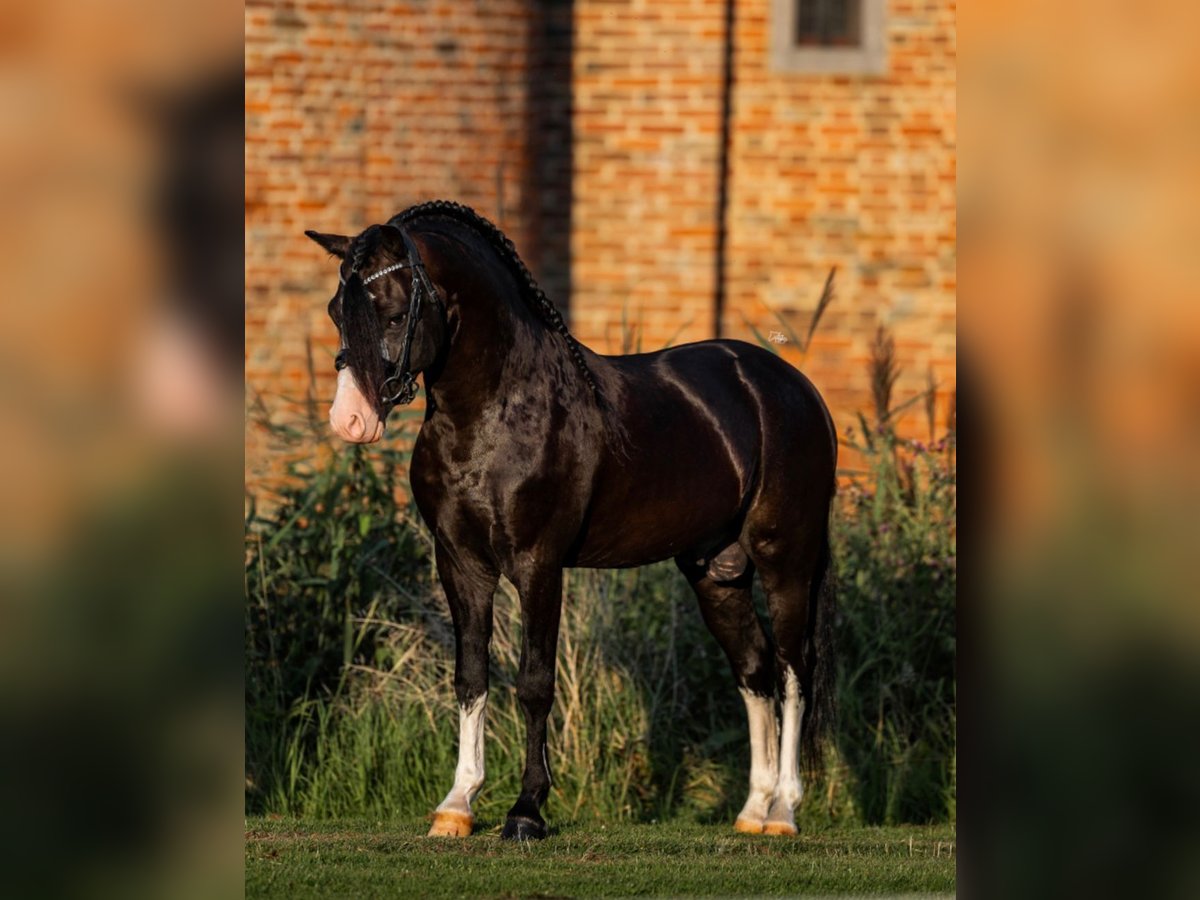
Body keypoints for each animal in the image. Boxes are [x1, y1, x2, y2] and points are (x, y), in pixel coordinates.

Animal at [304, 200, 840, 844]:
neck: (498, 412)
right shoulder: (460, 565)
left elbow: (534, 684)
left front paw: (526, 810)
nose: (350, 420)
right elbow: (470, 677)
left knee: (792, 672)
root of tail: (793, 387)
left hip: (786, 560)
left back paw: (783, 811)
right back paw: (752, 812)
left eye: (391, 311)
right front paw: (457, 805)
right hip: (718, 574)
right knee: (755, 670)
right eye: (337, 311)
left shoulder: (539, 565)